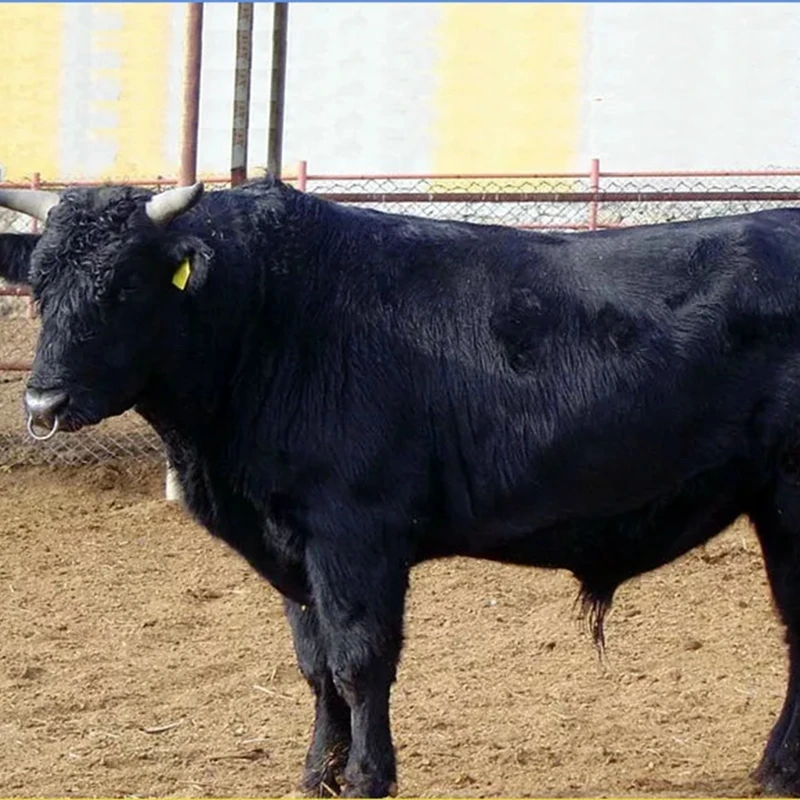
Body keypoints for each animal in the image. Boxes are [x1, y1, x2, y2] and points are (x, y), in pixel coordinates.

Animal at [0, 178, 799, 797]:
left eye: (125, 285)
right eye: (38, 286)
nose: (42, 402)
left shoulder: (355, 534)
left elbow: (360, 661)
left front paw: (366, 776)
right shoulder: (294, 546)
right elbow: (316, 665)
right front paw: (315, 774)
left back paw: (778, 769)